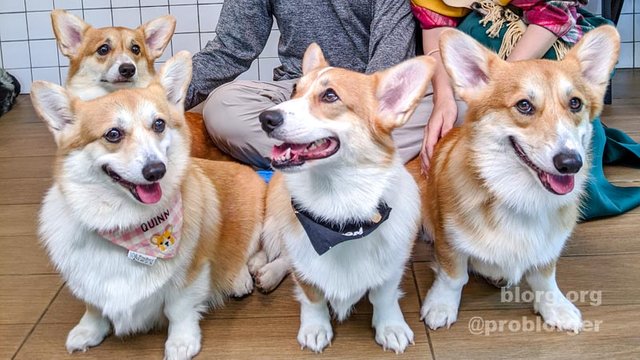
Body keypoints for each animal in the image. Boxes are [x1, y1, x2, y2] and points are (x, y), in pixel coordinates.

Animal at [29, 51, 264, 360]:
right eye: (113, 134)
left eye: (159, 124)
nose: (156, 170)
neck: (124, 223)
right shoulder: (86, 277)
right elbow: (93, 306)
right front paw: (87, 331)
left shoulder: (190, 272)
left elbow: (179, 308)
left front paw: (181, 342)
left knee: (248, 251)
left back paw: (240, 279)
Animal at [255, 43, 436, 352]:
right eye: (294, 90)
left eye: (330, 96)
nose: (266, 118)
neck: (340, 213)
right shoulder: (305, 266)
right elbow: (311, 296)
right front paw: (315, 328)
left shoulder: (392, 265)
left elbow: (384, 296)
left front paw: (391, 327)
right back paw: (264, 269)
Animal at [416, 26, 620, 334]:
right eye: (524, 105)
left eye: (575, 103)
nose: (571, 163)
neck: (521, 195)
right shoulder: (449, 241)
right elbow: (453, 277)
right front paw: (440, 307)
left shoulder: (549, 247)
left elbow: (546, 278)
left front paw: (556, 308)